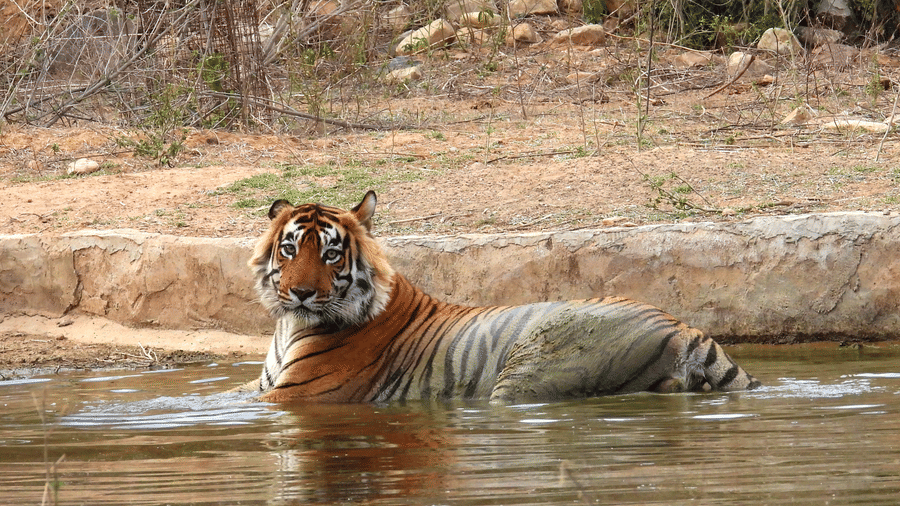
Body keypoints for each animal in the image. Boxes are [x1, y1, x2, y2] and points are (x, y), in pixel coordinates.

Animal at [240, 190, 761, 403]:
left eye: (331, 254)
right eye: (289, 249)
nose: (300, 293)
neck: (290, 325)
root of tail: (683, 325)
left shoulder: (298, 394)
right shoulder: (262, 386)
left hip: (528, 371)